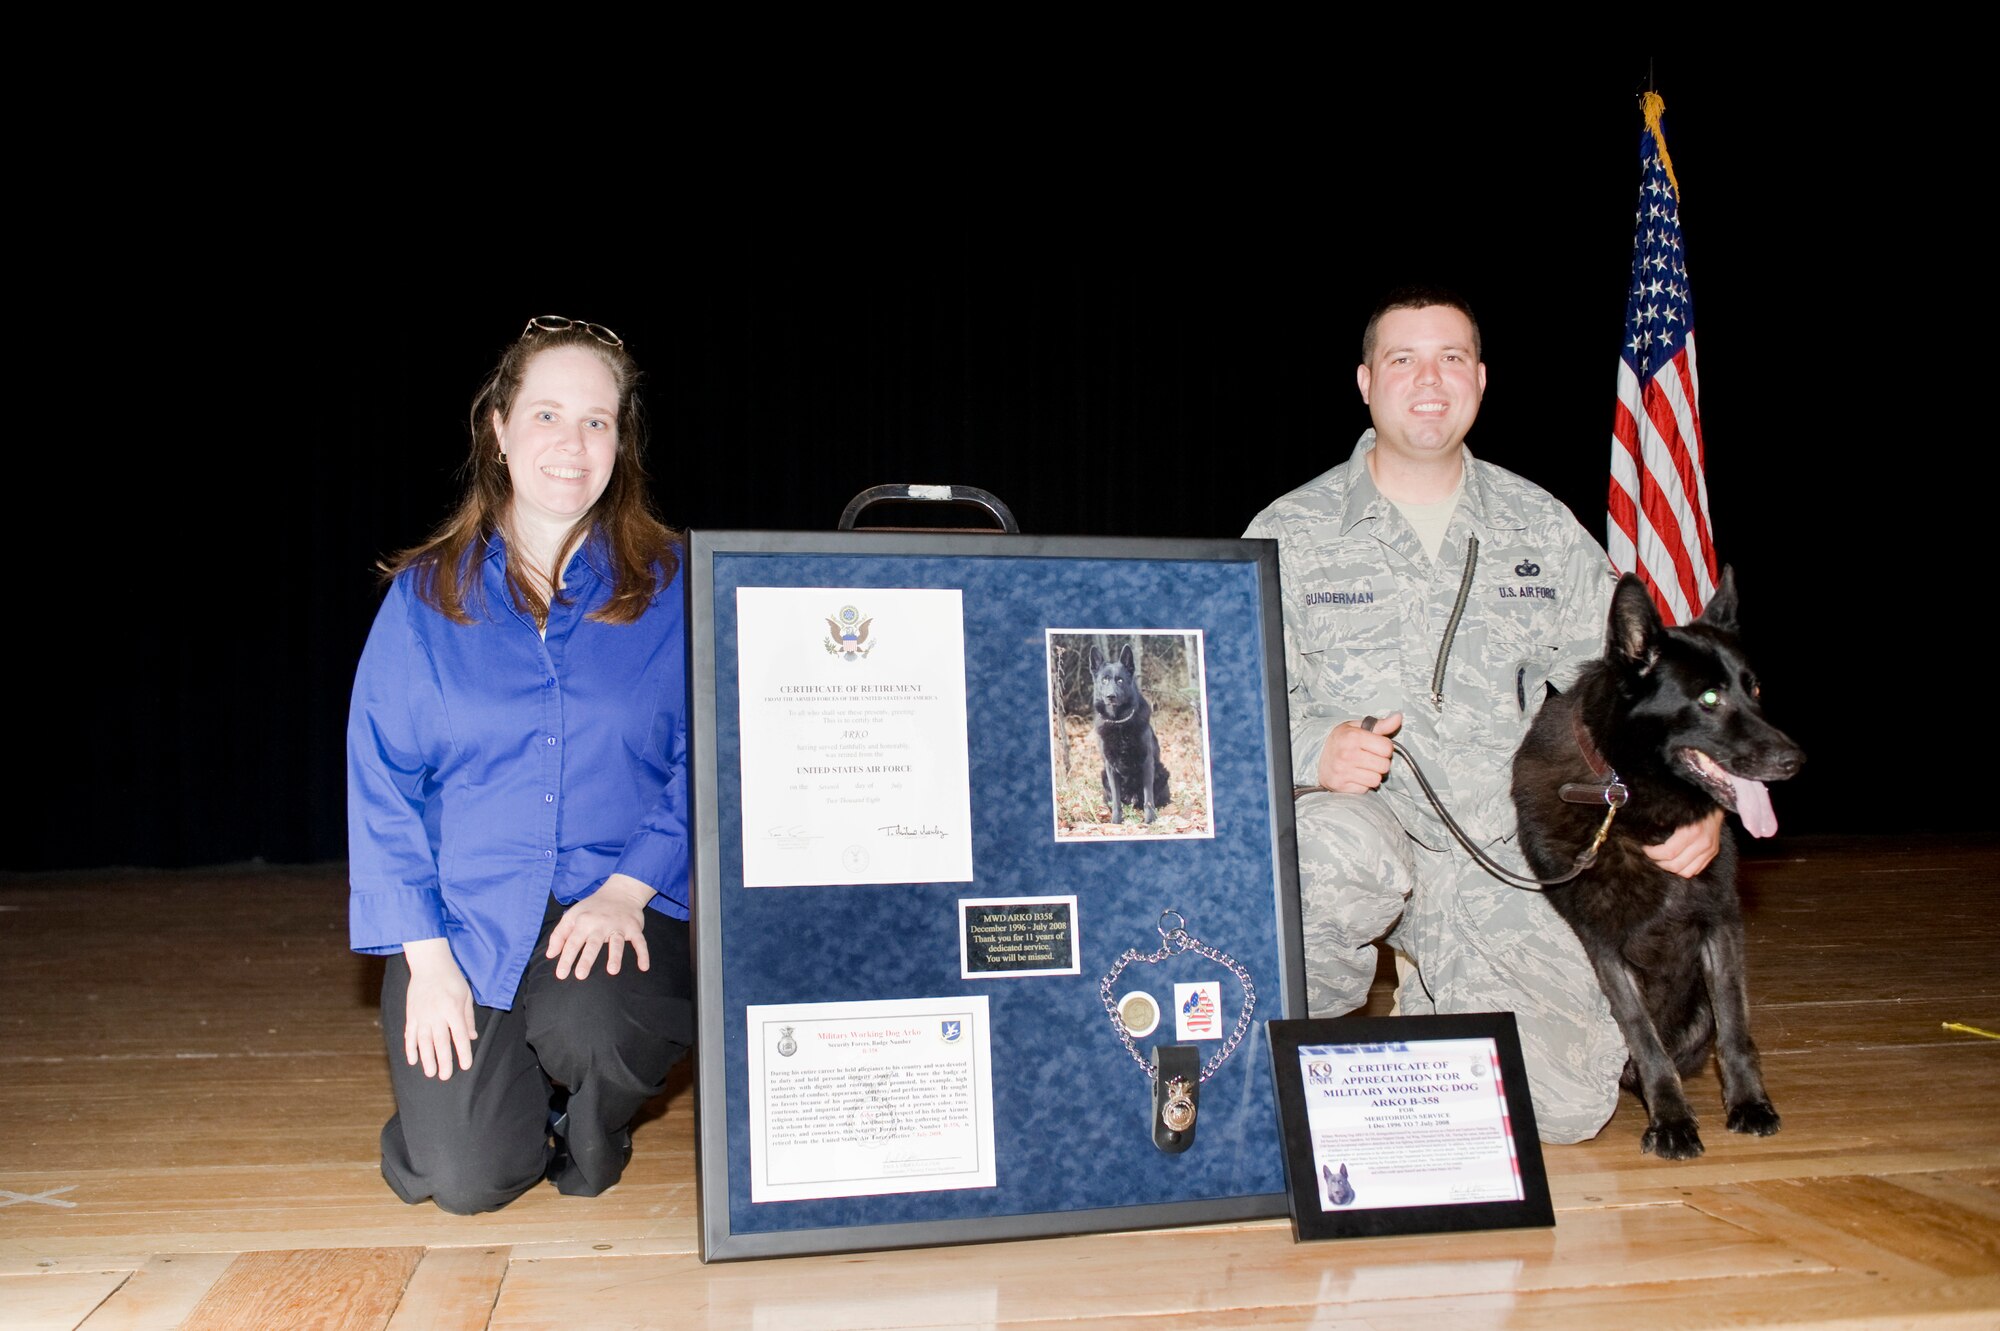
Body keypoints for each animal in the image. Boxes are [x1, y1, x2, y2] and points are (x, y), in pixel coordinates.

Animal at [1096, 639, 1168, 819]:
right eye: (1104, 680)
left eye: (1120, 680)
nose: (1110, 696)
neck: (1119, 722)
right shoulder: (1110, 766)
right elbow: (1116, 799)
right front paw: (1116, 821)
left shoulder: (1147, 761)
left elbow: (1148, 796)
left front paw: (1150, 820)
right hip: (1103, 775)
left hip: (1162, 771)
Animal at [1512, 563, 1800, 1159]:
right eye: (1709, 697)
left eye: (1755, 689)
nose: (1795, 761)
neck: (1626, 796)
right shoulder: (1604, 945)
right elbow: (1644, 1039)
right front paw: (1670, 1118)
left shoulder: (1719, 922)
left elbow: (1736, 1029)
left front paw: (1749, 1103)